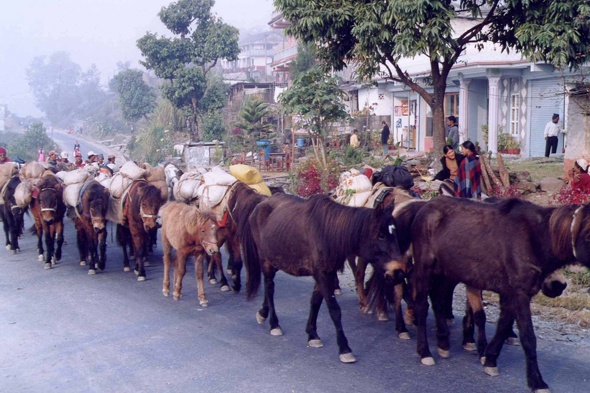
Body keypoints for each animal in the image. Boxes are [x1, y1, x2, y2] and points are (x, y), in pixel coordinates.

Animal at [242, 194, 408, 362]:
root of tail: (261, 203)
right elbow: (334, 310)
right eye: (381, 235)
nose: (399, 273)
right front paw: (344, 348)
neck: (328, 233)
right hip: (266, 261)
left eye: (395, 234)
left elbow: (315, 302)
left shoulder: (325, 274)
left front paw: (312, 334)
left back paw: (263, 313)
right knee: (269, 288)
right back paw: (274, 324)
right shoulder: (323, 275)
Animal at [404, 196, 590, 392]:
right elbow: (528, 338)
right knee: (421, 307)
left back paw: (443, 342)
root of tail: (425, 206)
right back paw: (424, 351)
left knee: (438, 301)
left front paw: (490, 359)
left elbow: (503, 328)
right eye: (589, 235)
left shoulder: (511, 294)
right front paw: (537, 381)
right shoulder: (520, 294)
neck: (536, 239)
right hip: (425, 268)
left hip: (444, 272)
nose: (558, 286)